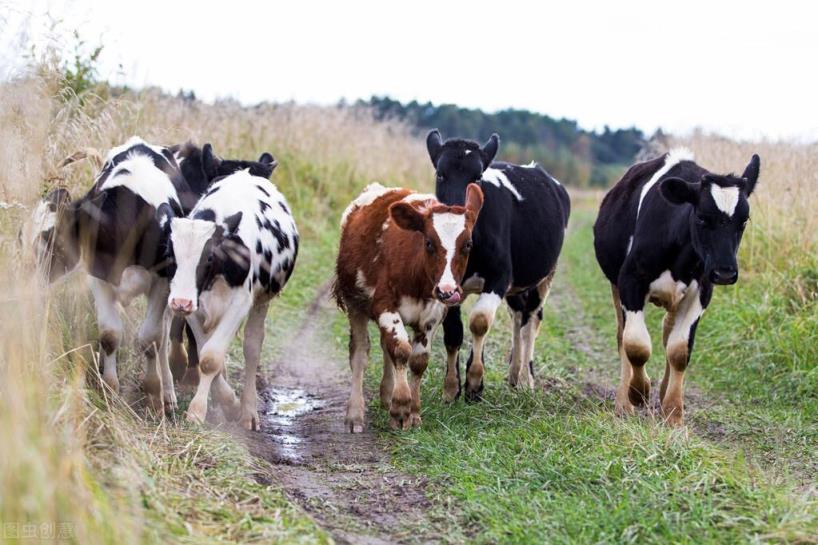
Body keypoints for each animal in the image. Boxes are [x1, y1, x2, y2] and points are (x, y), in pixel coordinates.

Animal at [165, 168, 296, 428]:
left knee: (252, 347)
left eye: (208, 257)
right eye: (171, 254)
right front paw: (223, 402)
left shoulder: (239, 304)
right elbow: (205, 352)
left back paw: (248, 412)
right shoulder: (195, 309)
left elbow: (211, 358)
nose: (180, 302)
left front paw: (200, 411)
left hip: (261, 301)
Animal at [334, 185, 482, 432]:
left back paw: (386, 395)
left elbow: (418, 360)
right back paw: (355, 414)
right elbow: (401, 349)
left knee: (385, 348)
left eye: (468, 244)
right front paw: (401, 408)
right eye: (429, 242)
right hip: (355, 303)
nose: (447, 290)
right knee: (359, 353)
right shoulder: (384, 304)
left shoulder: (432, 315)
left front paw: (413, 412)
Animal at [424, 130, 572, 402]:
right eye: (440, 174)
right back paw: (513, 374)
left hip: (546, 275)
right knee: (518, 315)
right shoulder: (446, 285)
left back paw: (525, 379)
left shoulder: (500, 277)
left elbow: (480, 321)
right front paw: (451, 388)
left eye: (478, 177)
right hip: (518, 285)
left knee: (531, 320)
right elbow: (453, 332)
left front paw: (474, 382)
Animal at [592, 148, 760, 424]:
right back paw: (624, 403)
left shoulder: (702, 291)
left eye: (744, 221)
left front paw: (673, 411)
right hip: (615, 284)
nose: (725, 272)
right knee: (622, 335)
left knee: (667, 332)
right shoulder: (630, 280)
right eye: (702, 217)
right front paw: (639, 392)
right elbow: (636, 345)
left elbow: (679, 350)